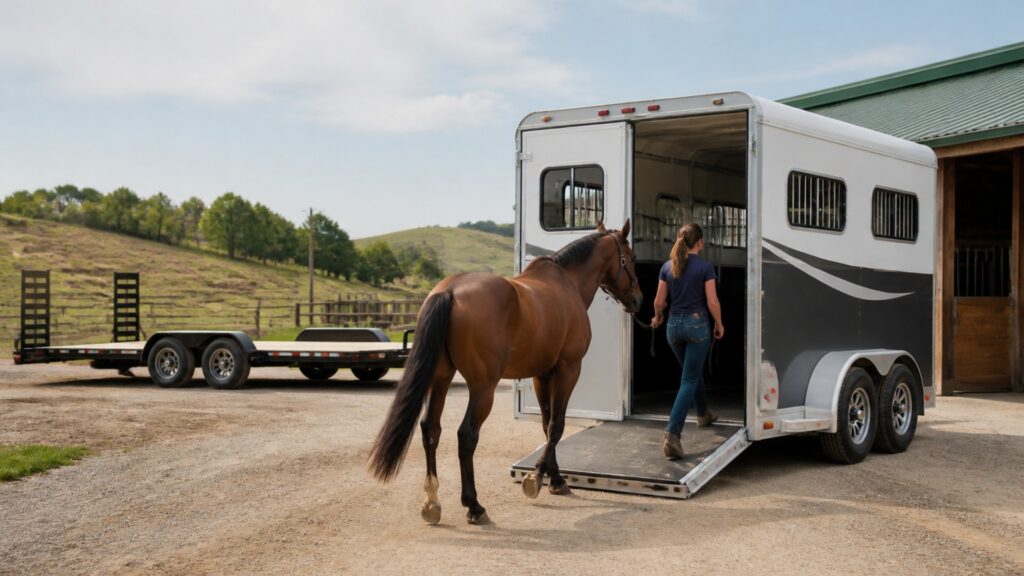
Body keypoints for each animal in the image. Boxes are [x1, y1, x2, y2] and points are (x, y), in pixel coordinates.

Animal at [368, 220, 642, 525]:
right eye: (631, 258)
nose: (638, 300)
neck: (567, 283)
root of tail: (449, 292)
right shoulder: (568, 369)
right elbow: (556, 426)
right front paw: (537, 479)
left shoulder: (541, 375)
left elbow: (546, 425)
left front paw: (554, 479)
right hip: (483, 387)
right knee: (466, 436)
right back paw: (474, 505)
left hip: (440, 379)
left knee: (431, 429)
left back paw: (432, 502)